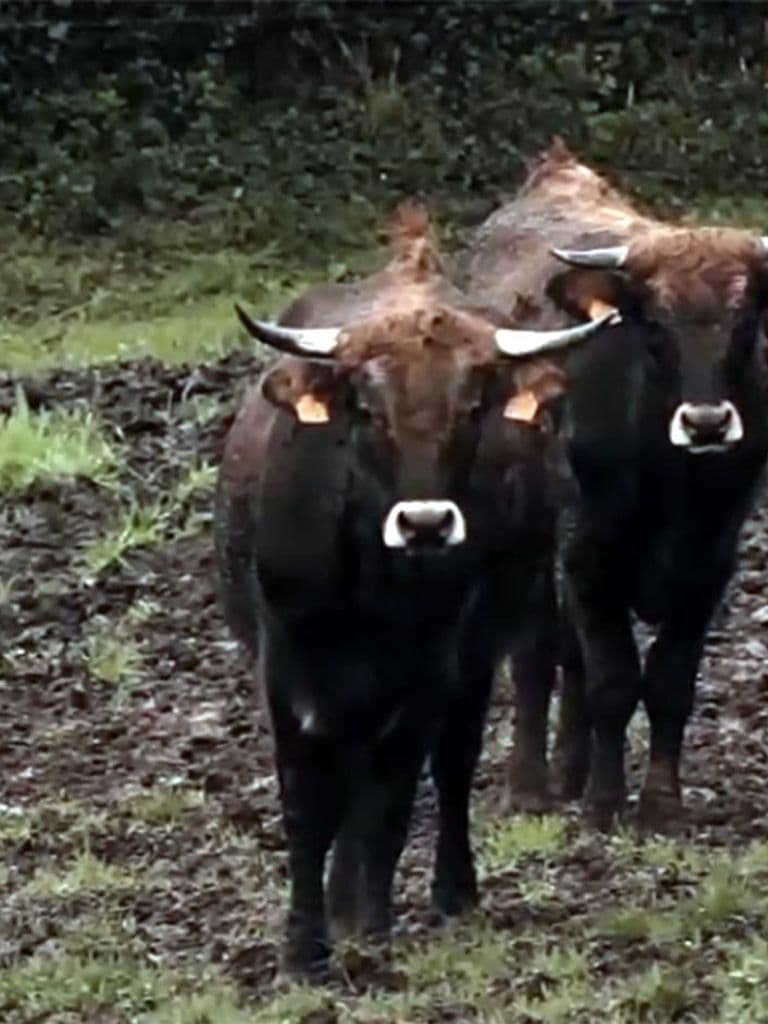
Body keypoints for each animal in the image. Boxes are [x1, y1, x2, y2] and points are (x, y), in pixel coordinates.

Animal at [214, 201, 611, 976]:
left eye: (473, 408)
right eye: (367, 409)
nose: (426, 523)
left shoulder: (432, 667)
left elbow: (392, 798)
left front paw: (372, 931)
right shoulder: (284, 666)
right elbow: (307, 802)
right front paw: (305, 945)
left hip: (478, 649)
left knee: (447, 766)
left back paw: (449, 892)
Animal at [463, 138, 768, 830]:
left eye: (746, 326)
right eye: (653, 326)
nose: (706, 422)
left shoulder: (711, 564)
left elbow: (669, 683)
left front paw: (660, 801)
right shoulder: (585, 552)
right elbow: (613, 681)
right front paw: (604, 802)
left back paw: (570, 772)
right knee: (539, 657)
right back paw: (533, 784)